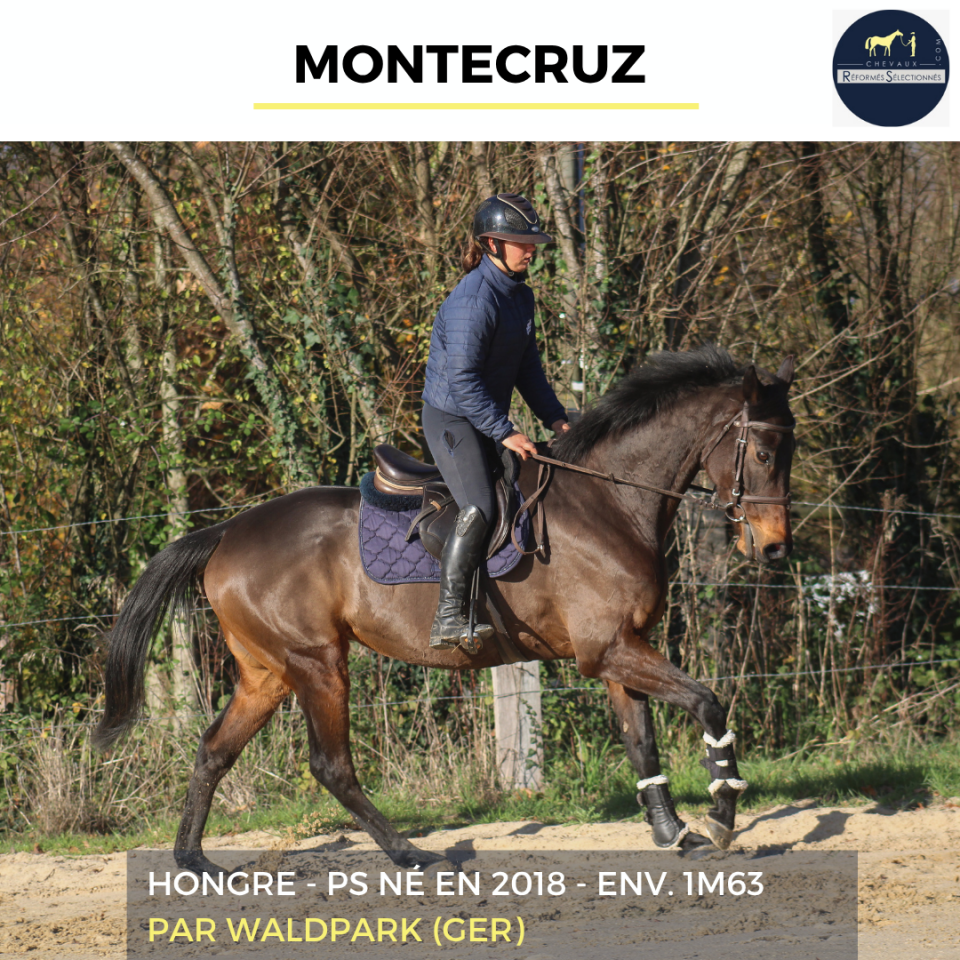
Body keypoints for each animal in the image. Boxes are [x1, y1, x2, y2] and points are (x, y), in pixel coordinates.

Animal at [93, 344, 797, 875]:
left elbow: (642, 744)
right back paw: (409, 853)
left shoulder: (618, 649)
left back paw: (193, 860)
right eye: (764, 453)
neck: (609, 503)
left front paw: (671, 832)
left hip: (266, 673)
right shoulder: (609, 650)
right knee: (331, 765)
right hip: (317, 664)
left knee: (214, 749)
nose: (774, 548)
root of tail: (225, 534)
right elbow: (707, 703)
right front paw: (722, 811)